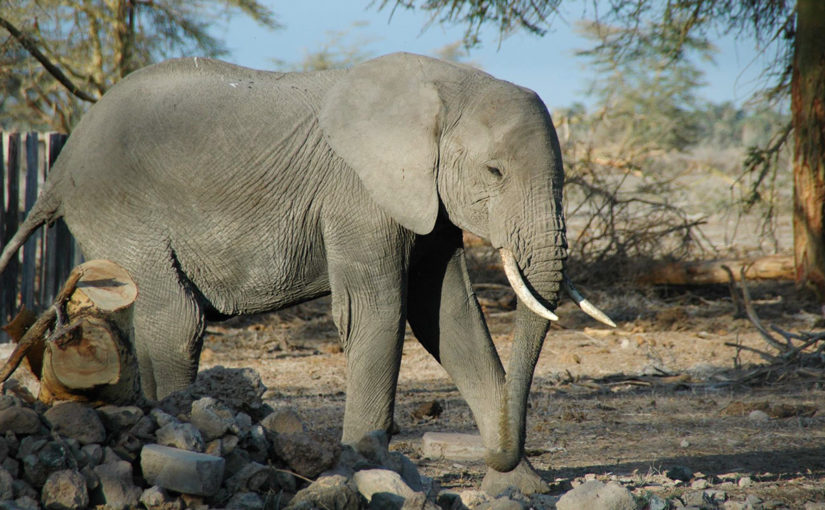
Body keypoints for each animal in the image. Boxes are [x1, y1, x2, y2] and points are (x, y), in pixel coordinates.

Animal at [0, 50, 612, 490]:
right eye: (494, 172)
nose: (502, 452)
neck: (449, 86)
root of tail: (59, 166)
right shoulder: (359, 197)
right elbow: (378, 313)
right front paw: (368, 472)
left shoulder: (426, 198)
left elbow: (446, 315)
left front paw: (520, 489)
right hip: (122, 212)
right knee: (176, 321)